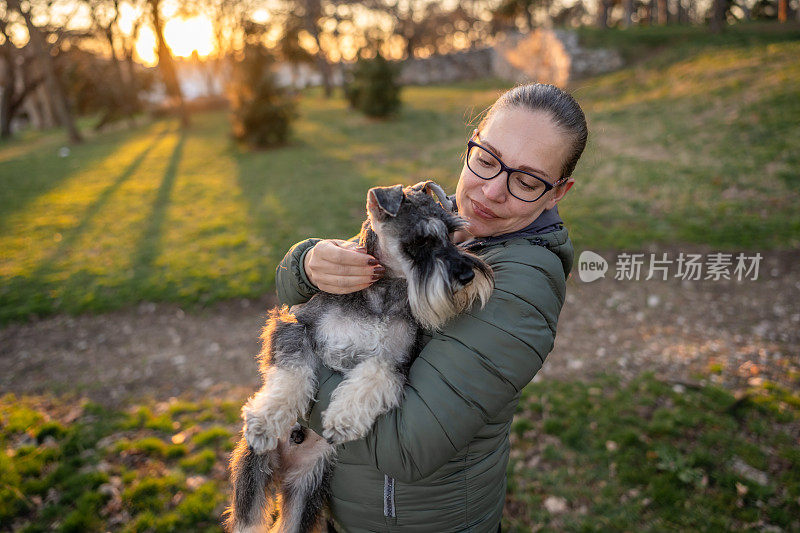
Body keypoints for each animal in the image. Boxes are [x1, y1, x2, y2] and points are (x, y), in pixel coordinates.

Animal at [225, 181, 494, 528]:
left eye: (453, 235)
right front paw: (266, 421)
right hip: (253, 472)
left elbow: (371, 377)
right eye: (420, 240)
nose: (467, 276)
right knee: (248, 521)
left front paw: (344, 420)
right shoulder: (293, 325)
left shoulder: (395, 360)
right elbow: (293, 372)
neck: (381, 293)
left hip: (308, 485)